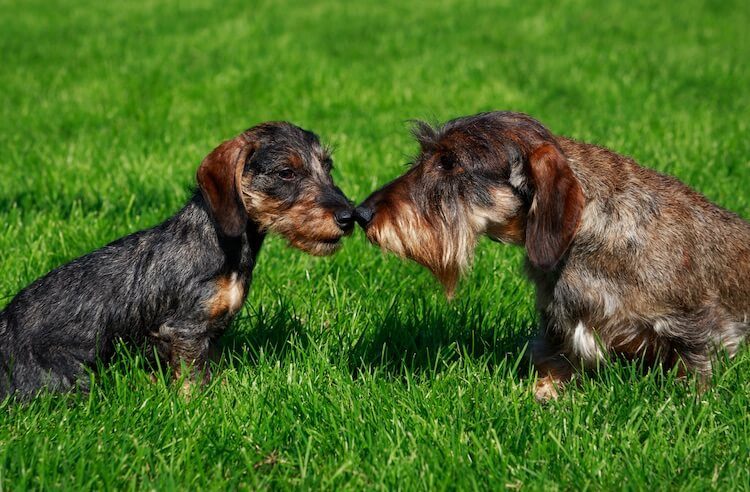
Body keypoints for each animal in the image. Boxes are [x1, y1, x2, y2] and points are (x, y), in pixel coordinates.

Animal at [0, 121, 356, 398]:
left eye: (328, 167)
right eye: (286, 172)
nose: (349, 216)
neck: (221, 243)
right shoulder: (185, 329)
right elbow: (192, 379)